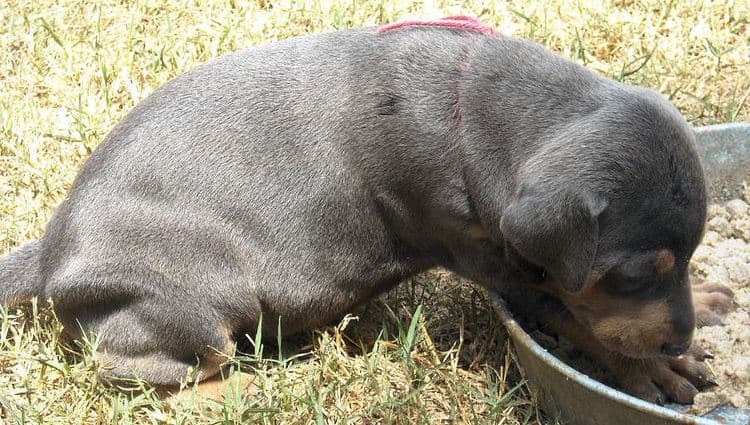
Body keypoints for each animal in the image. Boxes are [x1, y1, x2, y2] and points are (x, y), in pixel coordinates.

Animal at [0, 17, 712, 400]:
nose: (681, 337)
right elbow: (575, 314)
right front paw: (655, 369)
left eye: (689, 257)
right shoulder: (484, 252)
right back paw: (242, 387)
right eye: (636, 272)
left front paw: (706, 307)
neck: (471, 111)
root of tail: (51, 256)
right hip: (195, 298)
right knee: (142, 366)